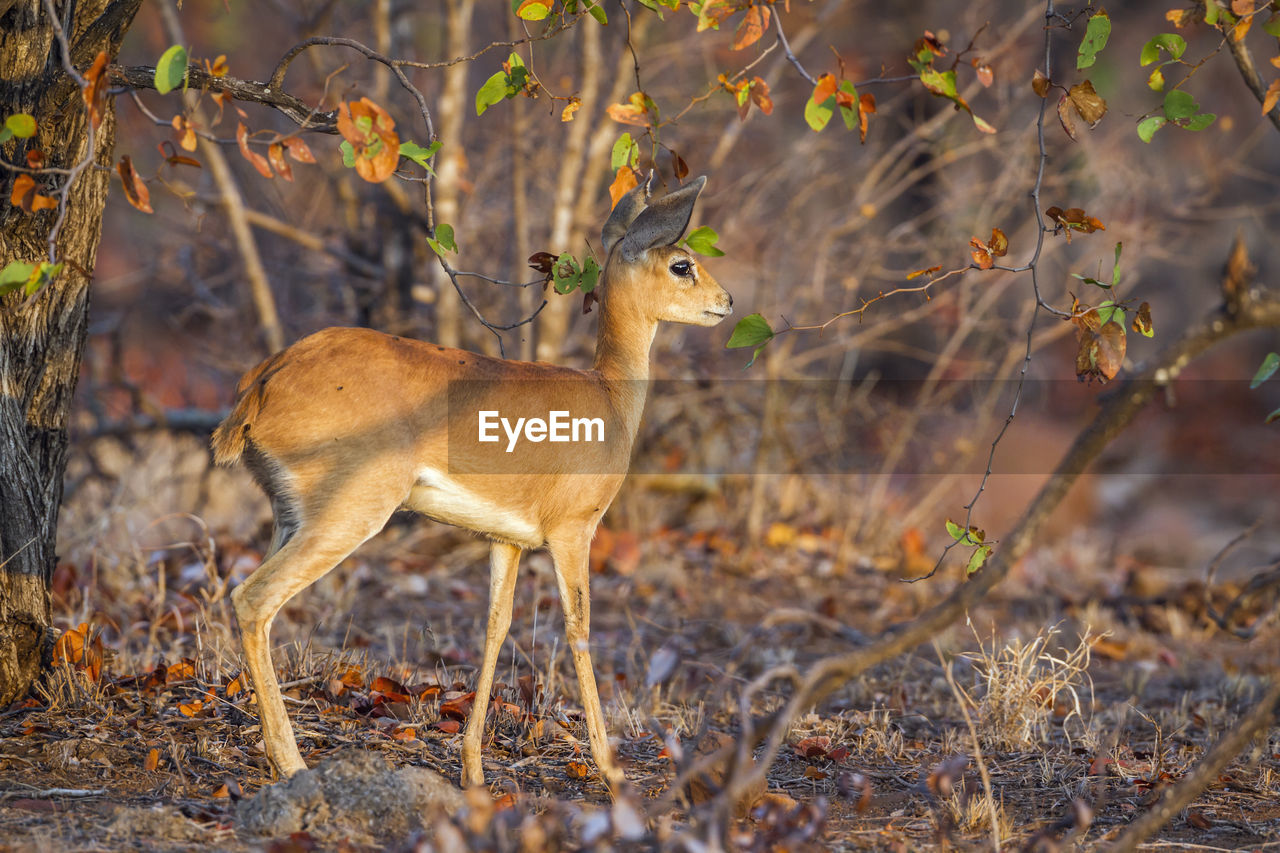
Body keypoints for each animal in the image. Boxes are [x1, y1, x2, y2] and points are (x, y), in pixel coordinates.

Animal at [209, 174, 732, 788]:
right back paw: (290, 762)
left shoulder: (506, 541)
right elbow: (578, 629)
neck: (608, 395)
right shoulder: (573, 533)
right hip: (349, 515)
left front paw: (474, 769)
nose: (727, 302)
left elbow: (495, 628)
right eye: (681, 264)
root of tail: (264, 382)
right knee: (253, 598)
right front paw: (610, 770)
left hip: (289, 517)